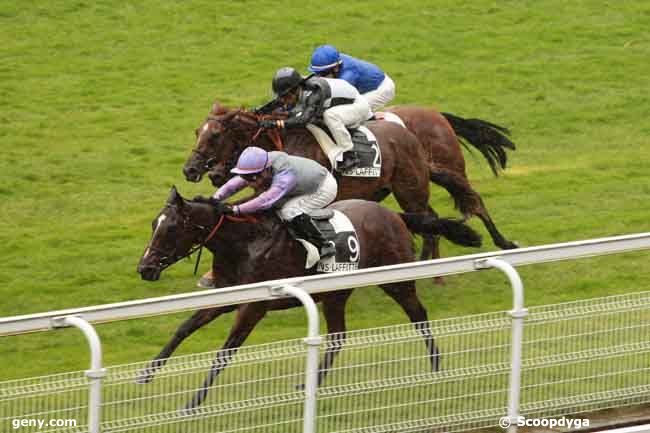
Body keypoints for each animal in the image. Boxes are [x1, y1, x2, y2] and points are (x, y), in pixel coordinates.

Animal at [138, 186, 480, 408]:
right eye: (154, 224)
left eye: (170, 229)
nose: (145, 268)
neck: (243, 243)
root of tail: (393, 214)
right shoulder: (228, 295)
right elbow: (184, 328)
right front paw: (145, 374)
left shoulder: (254, 306)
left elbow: (225, 351)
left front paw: (194, 401)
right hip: (335, 293)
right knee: (338, 337)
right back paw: (309, 384)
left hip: (396, 280)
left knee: (418, 315)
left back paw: (435, 366)